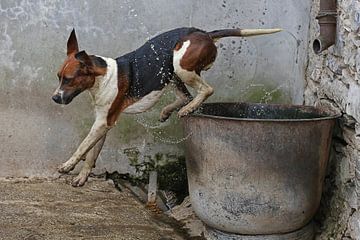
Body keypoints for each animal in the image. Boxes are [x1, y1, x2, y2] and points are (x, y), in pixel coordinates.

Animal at [52, 27, 282, 187]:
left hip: (181, 65)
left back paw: (187, 109)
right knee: (186, 96)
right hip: (171, 73)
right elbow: (91, 153)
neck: (103, 77)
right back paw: (169, 110)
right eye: (58, 77)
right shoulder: (105, 122)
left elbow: (82, 146)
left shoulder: (102, 123)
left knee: (206, 90)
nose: (54, 98)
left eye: (69, 79)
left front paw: (67, 165)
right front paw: (82, 176)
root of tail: (204, 33)